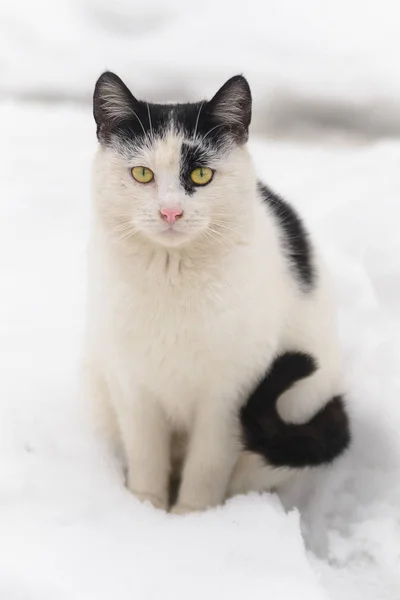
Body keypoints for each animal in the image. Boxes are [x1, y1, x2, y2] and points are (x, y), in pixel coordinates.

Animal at [86, 69, 350, 510]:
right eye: (142, 174)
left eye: (200, 175)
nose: (170, 212)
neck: (172, 278)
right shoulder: (131, 383)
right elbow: (146, 455)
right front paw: (146, 508)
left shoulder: (231, 393)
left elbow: (206, 466)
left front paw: (192, 516)